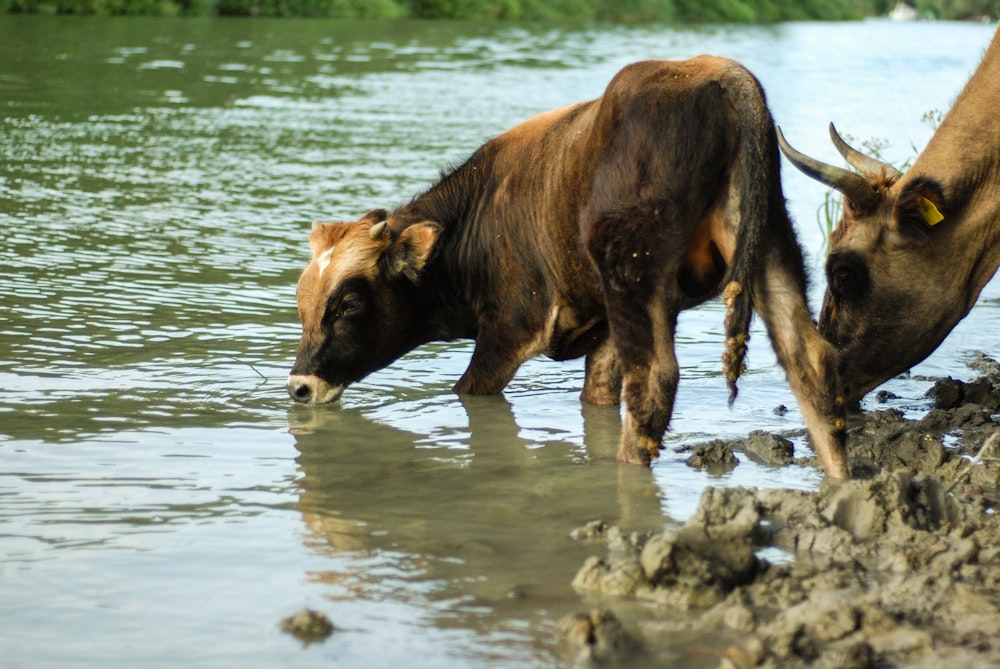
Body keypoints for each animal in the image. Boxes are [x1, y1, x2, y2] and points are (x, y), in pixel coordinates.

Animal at [286, 56, 848, 474]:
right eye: (302, 304)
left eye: (350, 303)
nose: (299, 387)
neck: (479, 218)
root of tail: (718, 73)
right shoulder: (603, 333)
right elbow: (596, 398)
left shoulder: (510, 328)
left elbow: (471, 390)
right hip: (771, 249)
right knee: (812, 362)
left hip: (632, 276)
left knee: (654, 381)